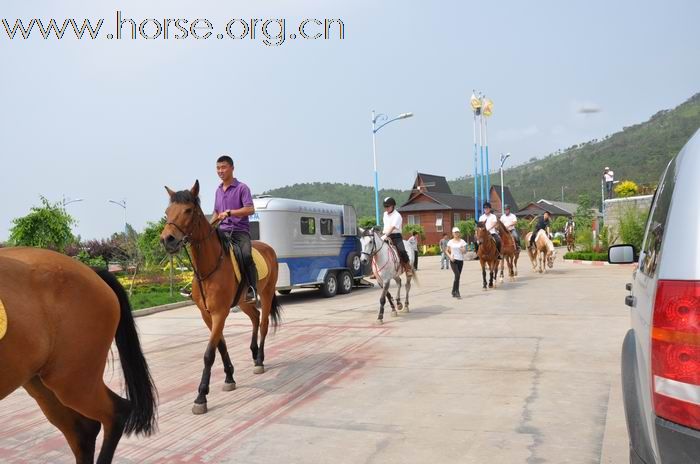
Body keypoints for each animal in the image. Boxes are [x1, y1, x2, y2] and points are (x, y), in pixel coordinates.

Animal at [161, 179, 282, 416]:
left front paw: (201, 396)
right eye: (167, 212)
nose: (167, 240)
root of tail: (267, 247)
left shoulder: (220, 313)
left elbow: (209, 353)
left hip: (266, 293)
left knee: (263, 323)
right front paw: (229, 377)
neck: (209, 268)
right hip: (244, 302)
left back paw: (260, 361)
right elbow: (221, 345)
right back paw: (254, 353)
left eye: (188, 210)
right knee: (255, 318)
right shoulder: (207, 314)